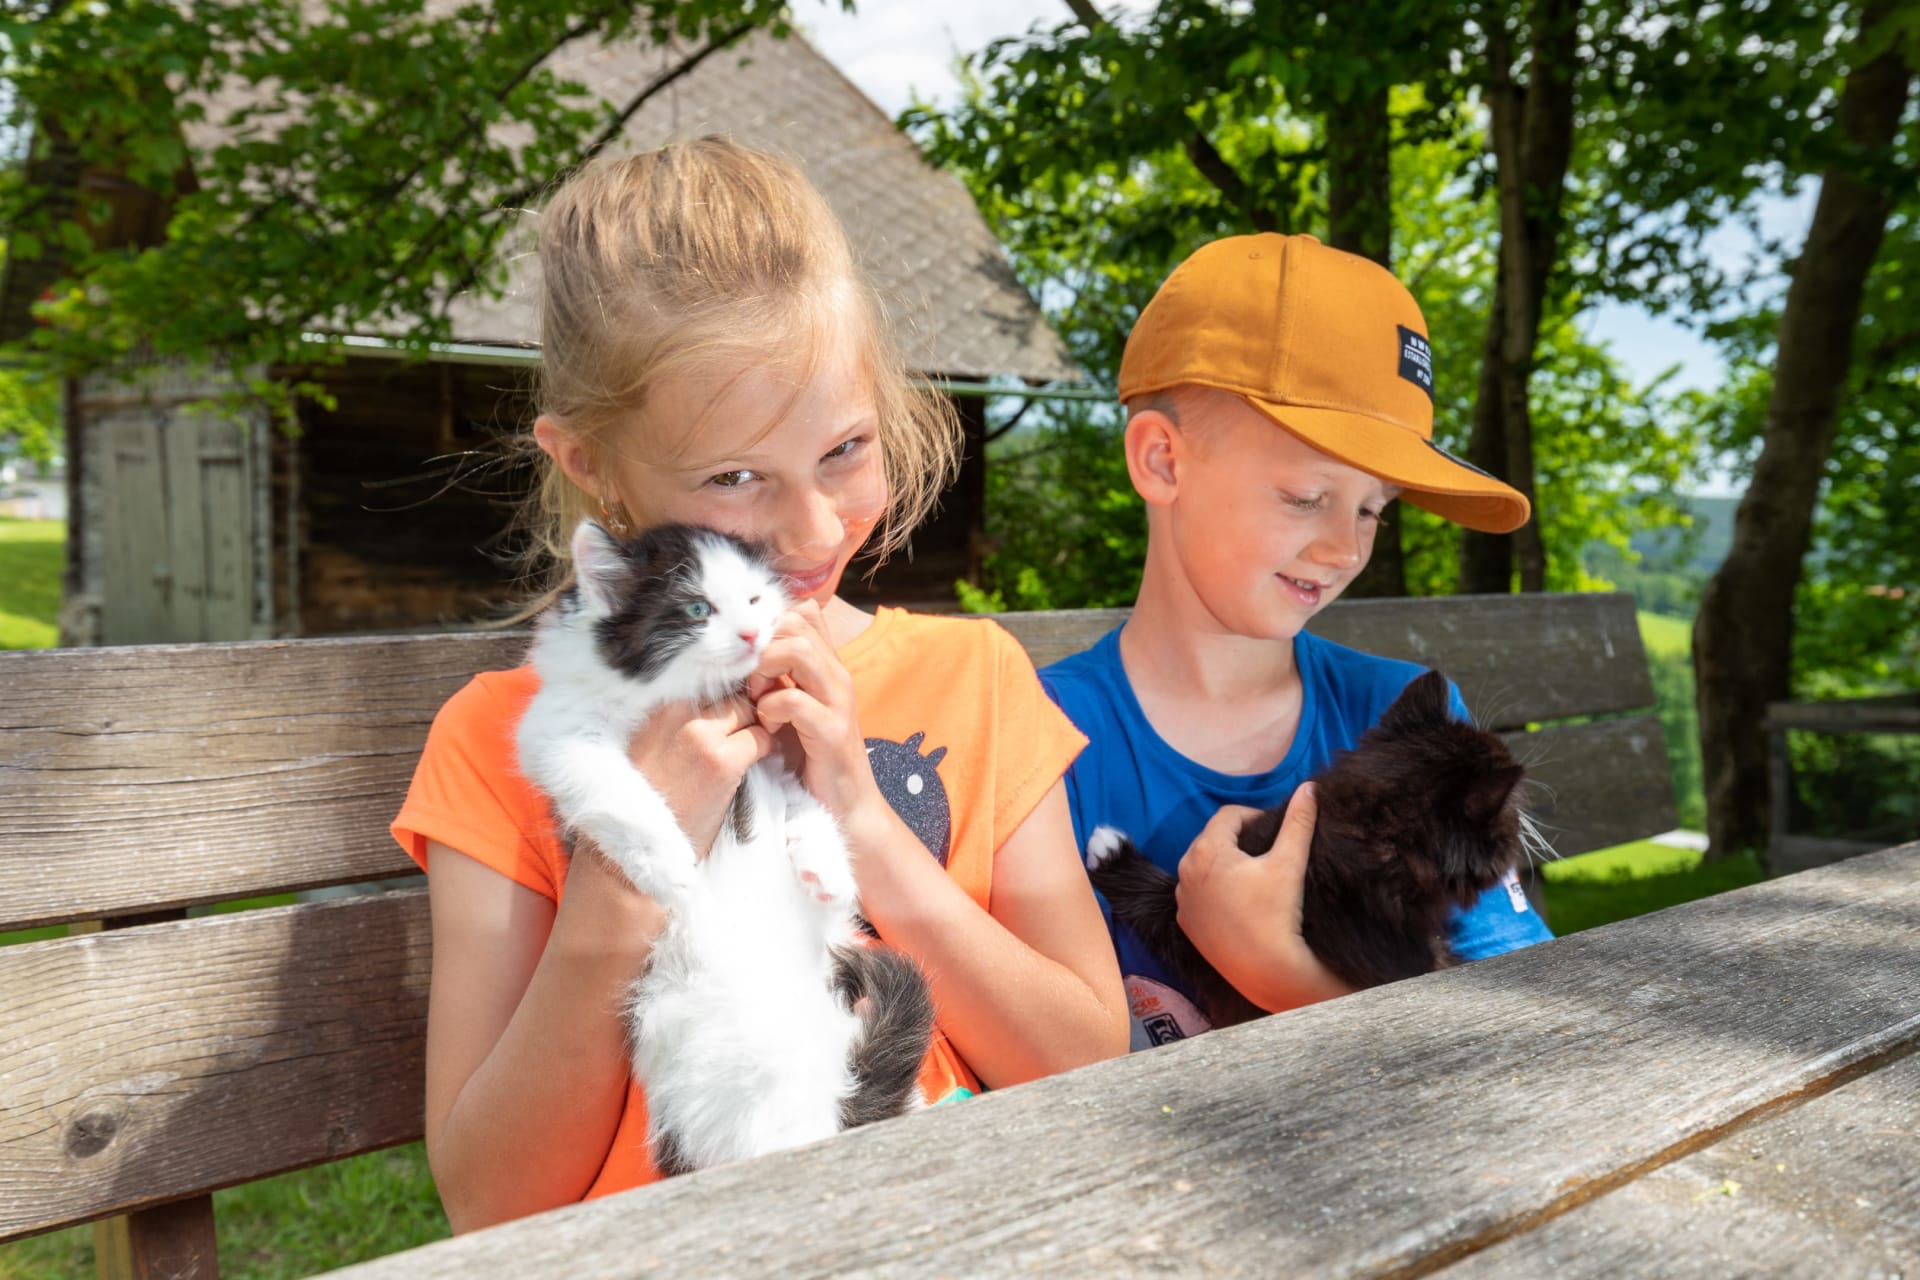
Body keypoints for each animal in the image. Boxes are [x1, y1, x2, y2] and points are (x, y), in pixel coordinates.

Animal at [514, 518, 935, 1175]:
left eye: (756, 600)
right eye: (696, 608)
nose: (751, 632)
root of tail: (829, 1104)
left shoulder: (775, 761)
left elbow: (808, 804)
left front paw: (828, 872)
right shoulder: (555, 733)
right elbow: (614, 786)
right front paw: (669, 864)